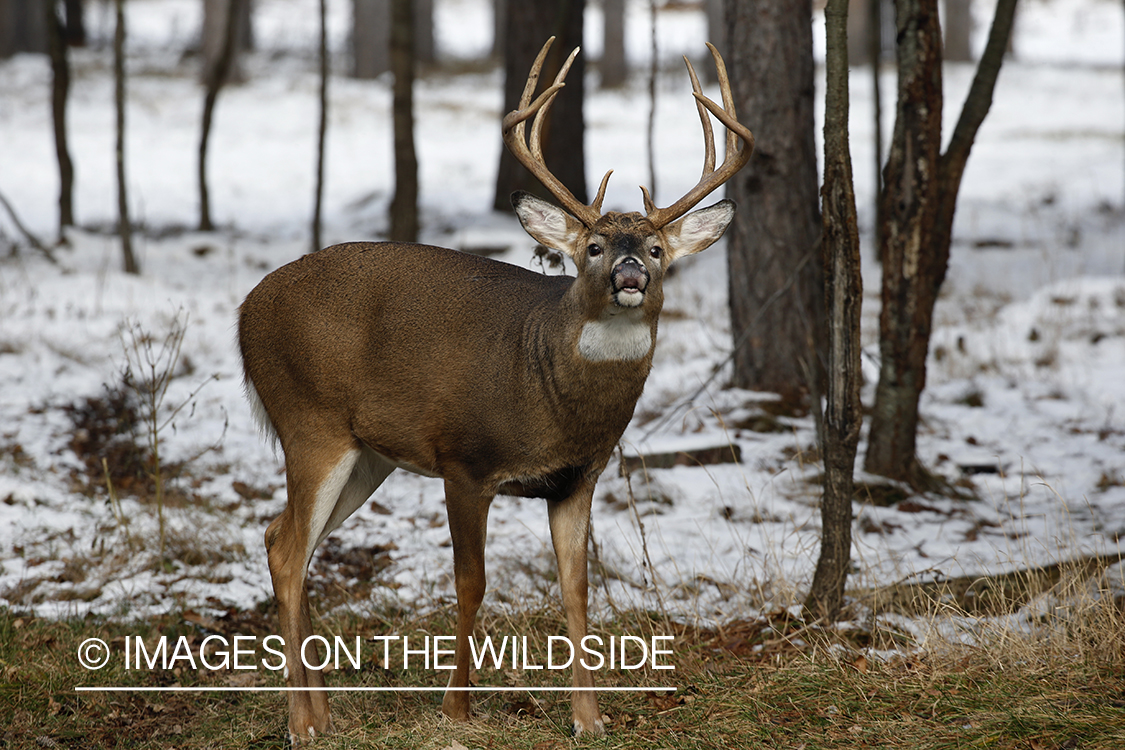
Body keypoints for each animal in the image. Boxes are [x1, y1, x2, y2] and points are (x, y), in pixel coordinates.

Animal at [238, 36, 751, 746]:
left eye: (654, 248)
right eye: (593, 246)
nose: (628, 271)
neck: (548, 390)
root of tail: (243, 313)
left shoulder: (576, 478)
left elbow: (576, 589)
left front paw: (589, 718)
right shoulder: (465, 460)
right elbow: (471, 583)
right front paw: (456, 710)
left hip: (367, 456)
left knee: (280, 538)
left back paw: (324, 714)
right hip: (309, 421)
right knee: (289, 550)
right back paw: (302, 724)